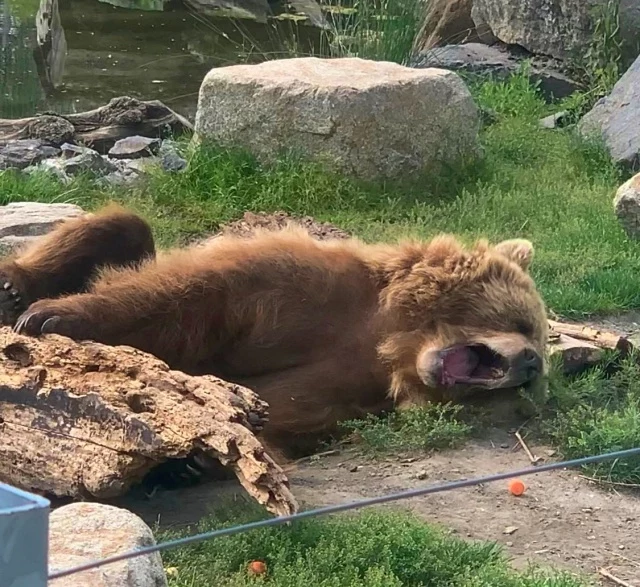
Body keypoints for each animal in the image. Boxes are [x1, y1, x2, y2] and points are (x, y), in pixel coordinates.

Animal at [1, 204, 552, 458]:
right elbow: (189, 295)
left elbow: (282, 403)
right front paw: (54, 316)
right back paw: (15, 290)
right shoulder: (301, 294)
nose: (531, 362)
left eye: (537, 370)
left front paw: (198, 457)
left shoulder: (345, 379)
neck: (391, 337)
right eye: (523, 322)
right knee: (120, 223)